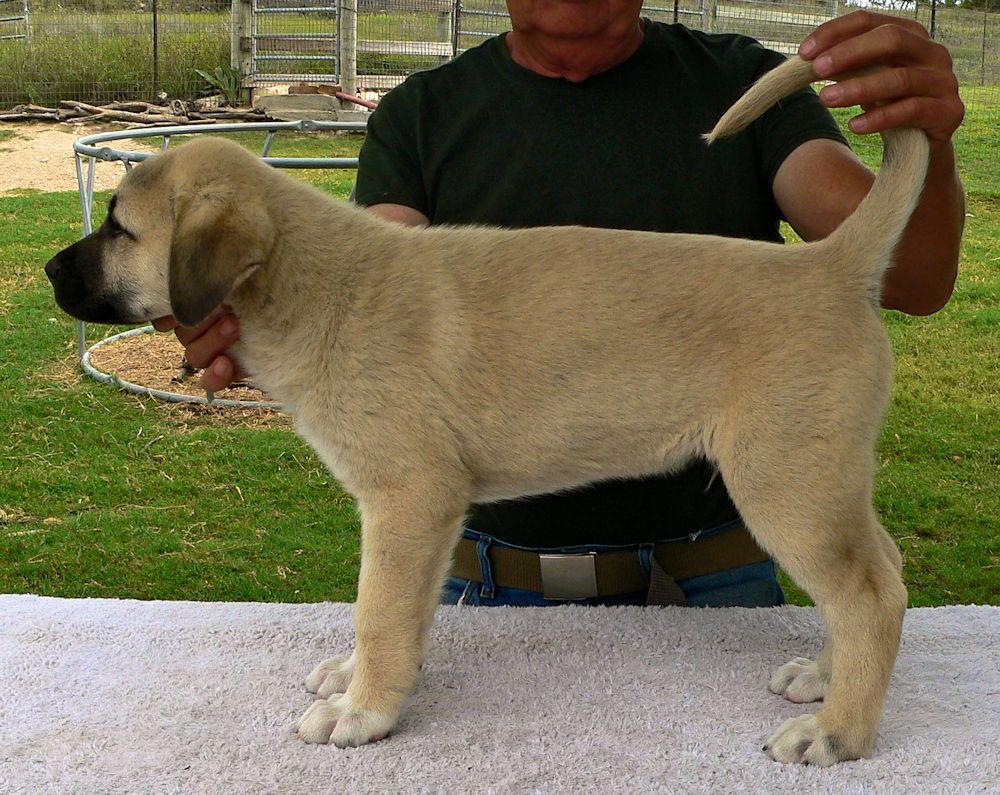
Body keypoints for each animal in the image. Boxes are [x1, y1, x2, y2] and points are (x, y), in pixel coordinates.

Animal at [43, 56, 924, 764]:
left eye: (120, 229)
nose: (51, 271)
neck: (316, 284)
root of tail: (830, 266)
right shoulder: (422, 516)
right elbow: (398, 611)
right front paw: (363, 681)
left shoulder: (408, 498)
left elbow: (379, 609)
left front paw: (363, 710)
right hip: (824, 479)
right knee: (880, 571)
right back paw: (824, 677)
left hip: (787, 481)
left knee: (870, 596)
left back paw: (838, 732)